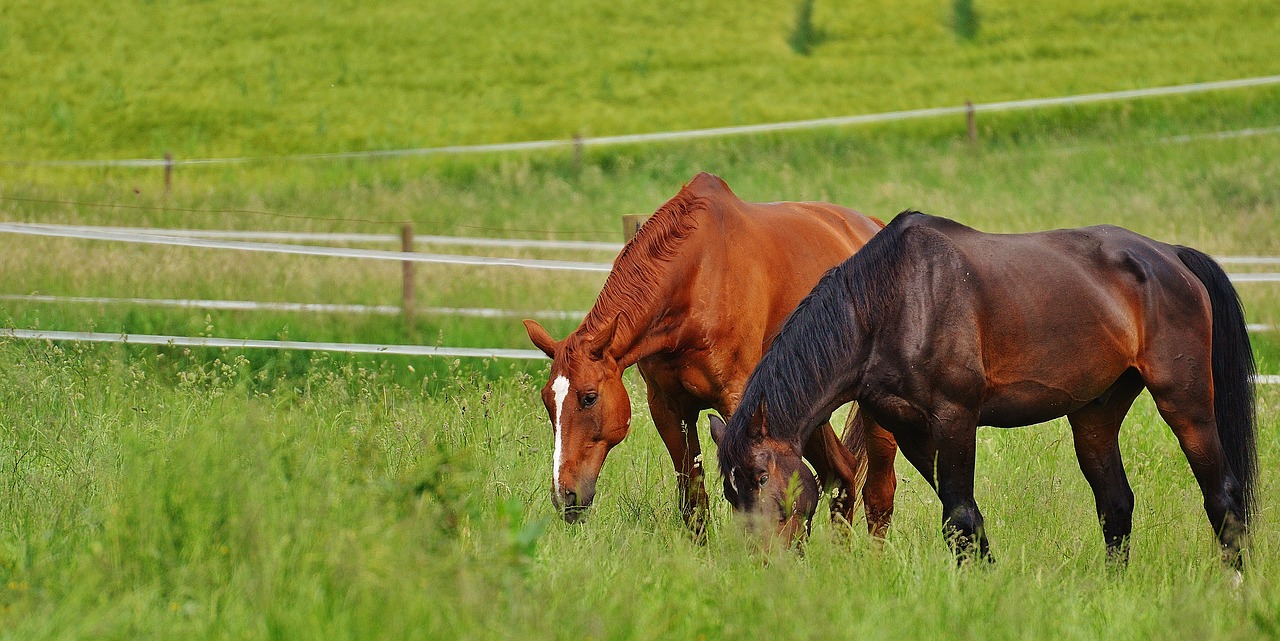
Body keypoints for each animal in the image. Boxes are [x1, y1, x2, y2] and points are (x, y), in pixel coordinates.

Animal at [524, 171, 885, 534]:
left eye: (589, 398)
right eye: (547, 401)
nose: (564, 496)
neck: (697, 276)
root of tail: (873, 225)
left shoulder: (739, 401)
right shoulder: (668, 407)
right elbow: (694, 502)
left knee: (878, 491)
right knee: (841, 471)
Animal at [716, 208, 1254, 565]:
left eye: (761, 479)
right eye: (729, 491)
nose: (761, 565)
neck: (893, 301)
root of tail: (1170, 257)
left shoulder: (955, 419)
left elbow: (960, 516)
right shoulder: (912, 431)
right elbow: (961, 522)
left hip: (1184, 401)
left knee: (1224, 498)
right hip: (1095, 414)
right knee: (1116, 506)